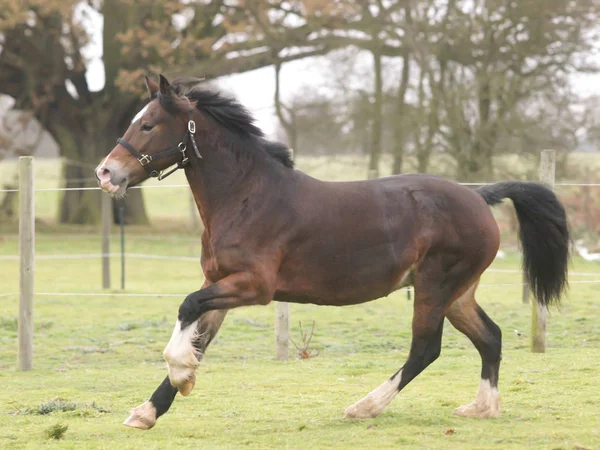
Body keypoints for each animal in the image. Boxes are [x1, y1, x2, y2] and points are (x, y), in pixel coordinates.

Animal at [94, 75, 568, 430]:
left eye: (149, 125)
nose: (106, 172)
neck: (247, 196)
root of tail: (480, 197)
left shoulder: (253, 286)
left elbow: (187, 307)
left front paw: (181, 372)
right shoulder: (221, 284)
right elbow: (200, 335)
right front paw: (148, 410)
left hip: (437, 285)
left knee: (426, 349)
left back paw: (365, 406)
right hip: (458, 293)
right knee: (490, 337)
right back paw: (482, 407)